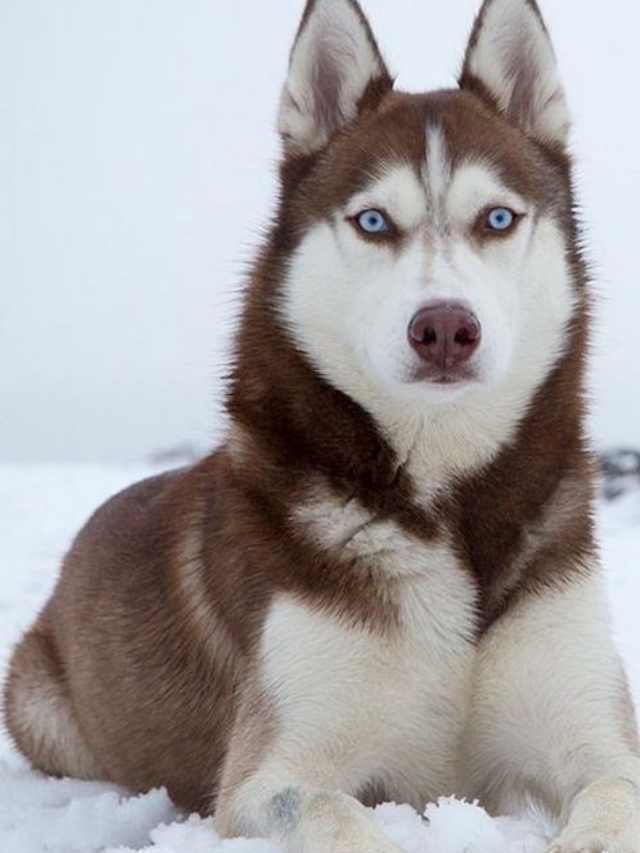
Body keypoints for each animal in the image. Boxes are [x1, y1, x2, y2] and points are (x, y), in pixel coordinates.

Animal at [5, 1, 640, 852]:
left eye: (498, 218)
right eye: (373, 220)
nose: (445, 327)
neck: (444, 510)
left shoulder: (593, 730)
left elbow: (611, 792)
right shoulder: (268, 771)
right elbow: (333, 809)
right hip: (39, 704)